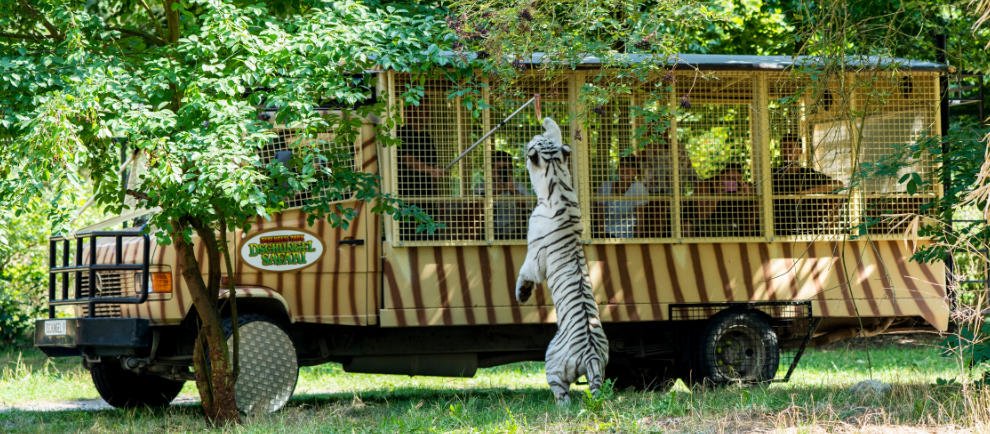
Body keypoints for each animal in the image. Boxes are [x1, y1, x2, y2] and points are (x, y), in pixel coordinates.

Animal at [516, 117, 608, 406]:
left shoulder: (534, 253)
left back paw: (560, 406)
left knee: (561, 394)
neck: (557, 179)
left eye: (533, 142)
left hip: (552, 362)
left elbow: (525, 274)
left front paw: (521, 294)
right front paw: (548, 121)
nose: (529, 139)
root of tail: (592, 356)